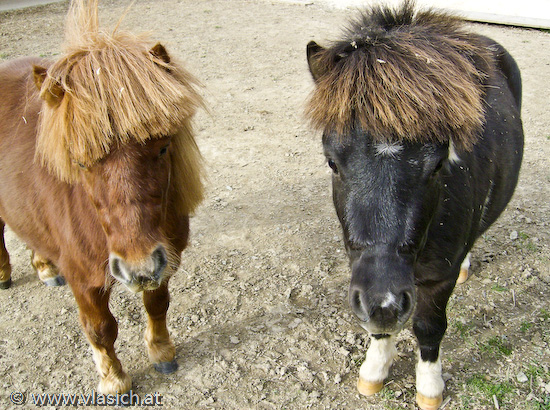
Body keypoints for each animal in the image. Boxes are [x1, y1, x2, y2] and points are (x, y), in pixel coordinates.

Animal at [0, 0, 205, 396]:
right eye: (79, 162)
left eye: (163, 147)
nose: (138, 267)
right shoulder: (84, 280)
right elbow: (101, 329)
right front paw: (113, 379)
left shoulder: (164, 259)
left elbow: (157, 304)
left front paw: (161, 352)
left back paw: (45, 267)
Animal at [306, 1, 528, 408]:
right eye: (331, 161)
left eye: (438, 163)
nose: (384, 301)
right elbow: (381, 332)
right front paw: (374, 370)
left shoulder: (437, 279)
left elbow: (428, 326)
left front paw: (429, 385)